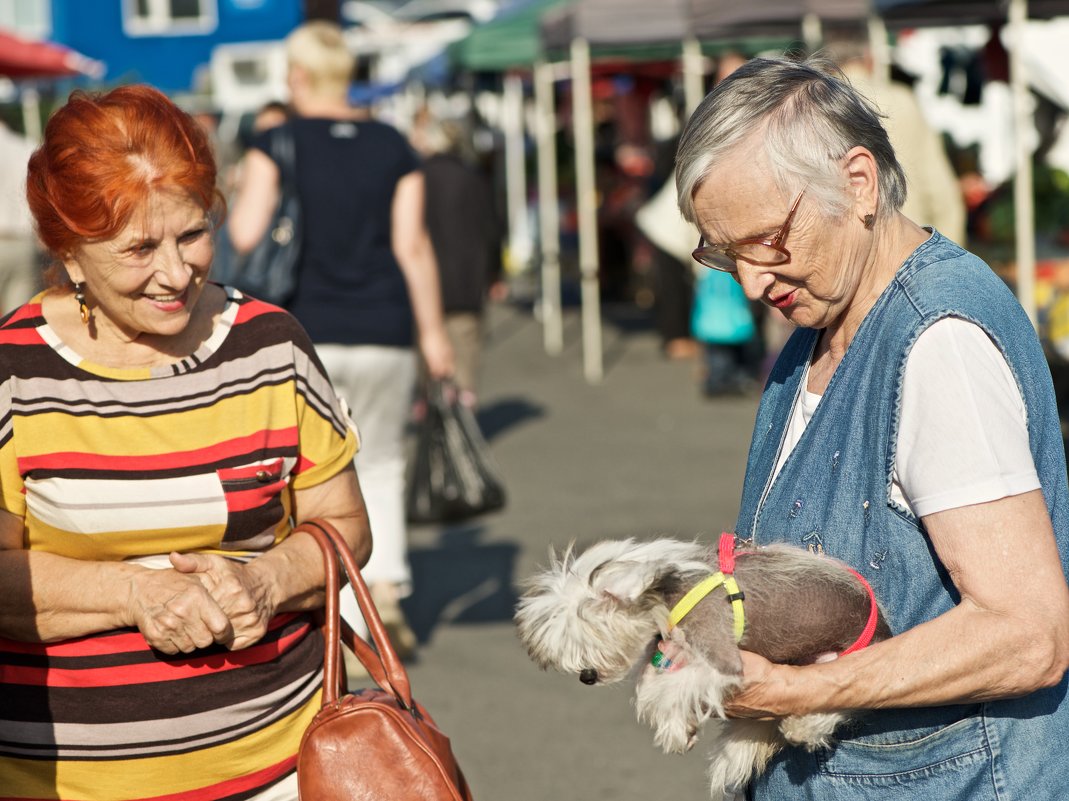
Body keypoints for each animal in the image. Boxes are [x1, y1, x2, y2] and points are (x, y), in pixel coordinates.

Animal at [513, 530, 889, 799]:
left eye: (591, 637)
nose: (586, 677)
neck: (670, 588)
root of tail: (884, 631)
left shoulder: (721, 656)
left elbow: (676, 686)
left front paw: (672, 724)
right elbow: (653, 679)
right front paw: (678, 726)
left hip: (843, 660)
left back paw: (803, 727)